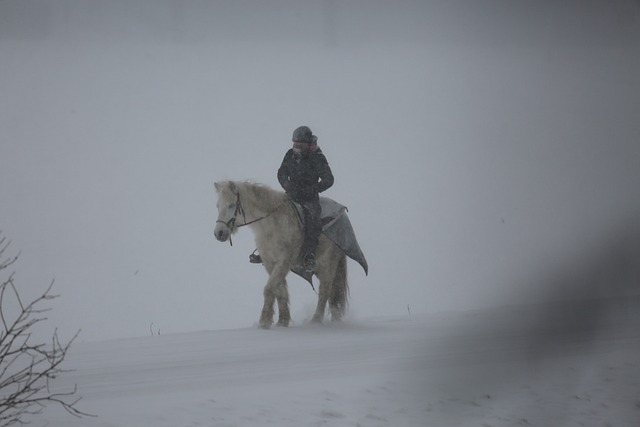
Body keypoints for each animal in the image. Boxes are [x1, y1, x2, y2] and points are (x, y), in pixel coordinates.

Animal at [212, 181, 348, 328]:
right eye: (218, 206)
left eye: (231, 205)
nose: (219, 233)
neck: (271, 225)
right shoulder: (270, 263)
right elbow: (280, 290)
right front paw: (282, 321)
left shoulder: (284, 261)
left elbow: (269, 288)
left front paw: (264, 320)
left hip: (327, 265)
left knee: (325, 291)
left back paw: (315, 321)